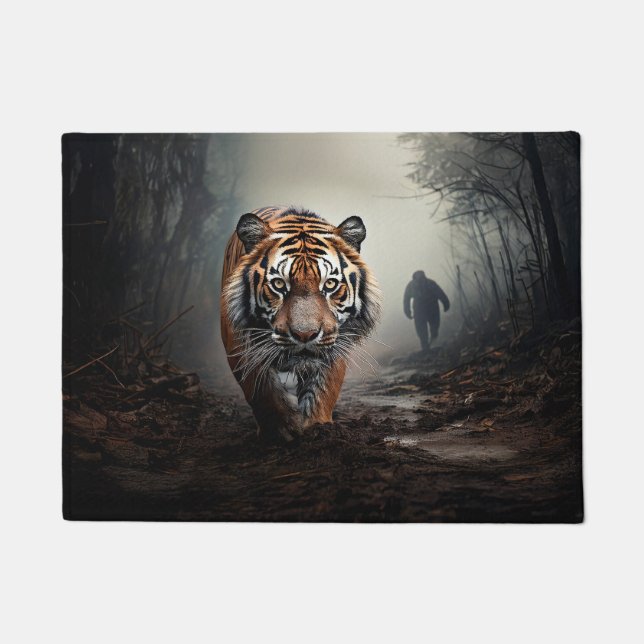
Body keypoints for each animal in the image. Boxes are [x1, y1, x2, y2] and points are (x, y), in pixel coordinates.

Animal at [220, 206, 380, 442]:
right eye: (279, 284)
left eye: (330, 284)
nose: (305, 335)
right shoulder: (240, 345)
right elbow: (262, 392)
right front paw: (282, 430)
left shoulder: (335, 343)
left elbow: (323, 391)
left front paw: (317, 429)